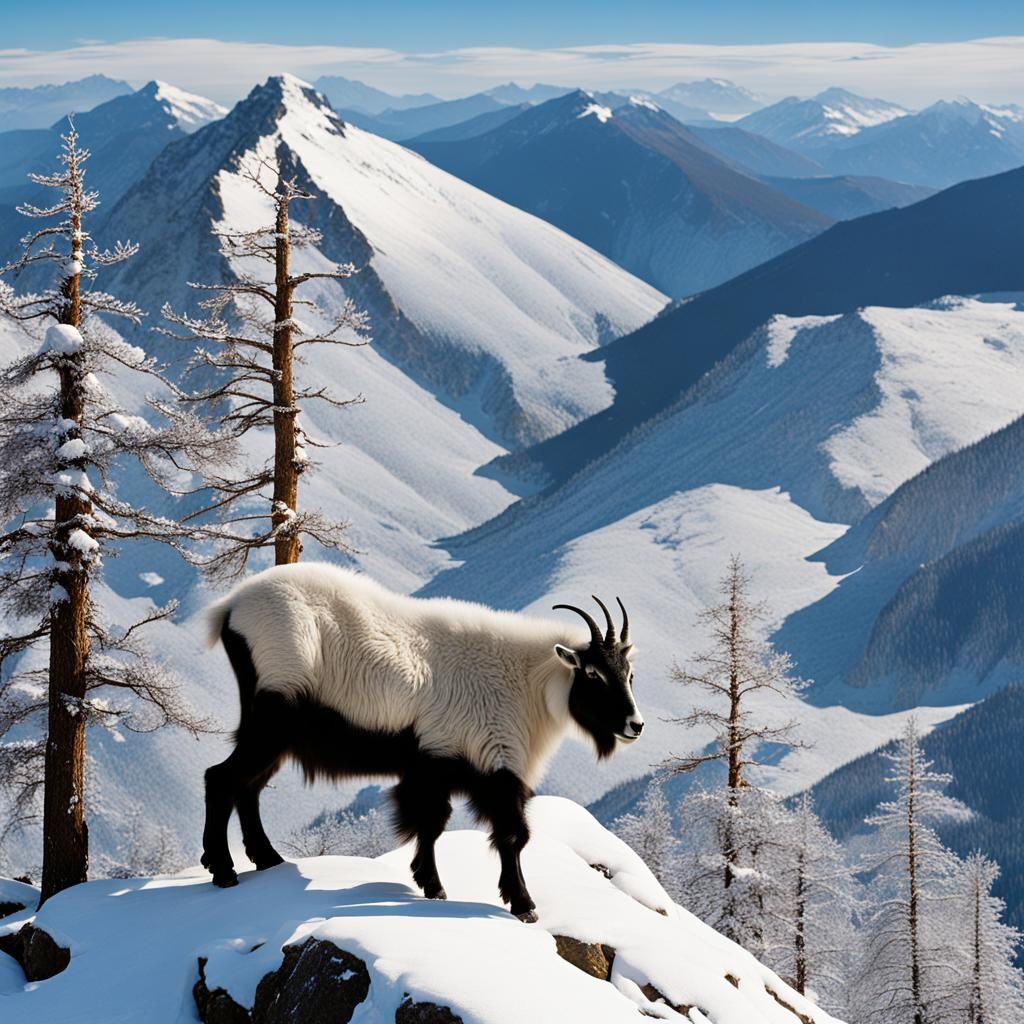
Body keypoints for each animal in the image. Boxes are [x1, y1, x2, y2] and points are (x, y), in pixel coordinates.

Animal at [200, 563, 642, 921]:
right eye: (594, 675)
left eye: (629, 674)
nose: (635, 725)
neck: (524, 682)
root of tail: (230, 607)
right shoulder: (486, 763)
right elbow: (509, 833)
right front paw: (523, 905)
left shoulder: (436, 766)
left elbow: (433, 824)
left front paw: (431, 885)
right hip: (273, 717)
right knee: (221, 778)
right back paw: (223, 870)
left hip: (272, 732)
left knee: (249, 786)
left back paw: (267, 859)